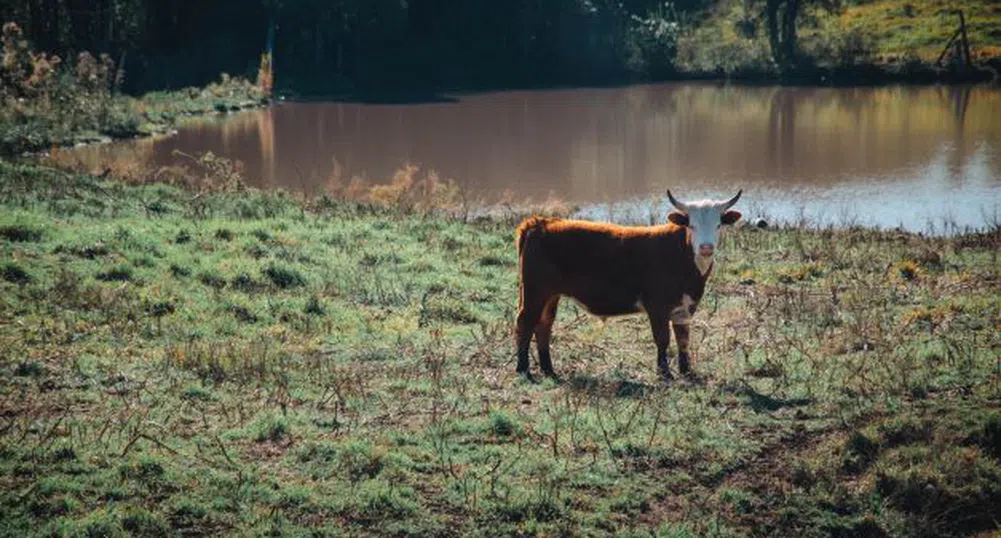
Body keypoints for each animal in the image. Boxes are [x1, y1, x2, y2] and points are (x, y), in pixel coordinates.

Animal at [516, 188, 744, 376]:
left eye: (718, 225)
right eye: (692, 225)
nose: (706, 247)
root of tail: (539, 223)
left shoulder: (685, 308)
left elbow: (683, 340)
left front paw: (686, 371)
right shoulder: (657, 307)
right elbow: (662, 339)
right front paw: (664, 373)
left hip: (550, 295)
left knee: (544, 324)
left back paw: (548, 369)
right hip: (535, 291)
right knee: (525, 322)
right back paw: (523, 368)